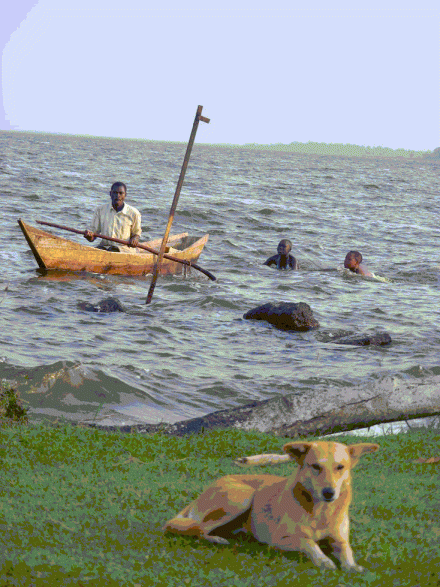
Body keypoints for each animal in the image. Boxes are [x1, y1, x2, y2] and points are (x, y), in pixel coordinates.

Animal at [163, 444, 380, 572]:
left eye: (340, 467)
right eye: (316, 467)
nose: (329, 493)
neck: (320, 513)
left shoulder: (340, 539)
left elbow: (346, 549)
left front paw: (352, 566)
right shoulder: (280, 539)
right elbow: (308, 541)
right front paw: (323, 559)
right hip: (242, 496)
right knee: (199, 529)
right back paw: (216, 539)